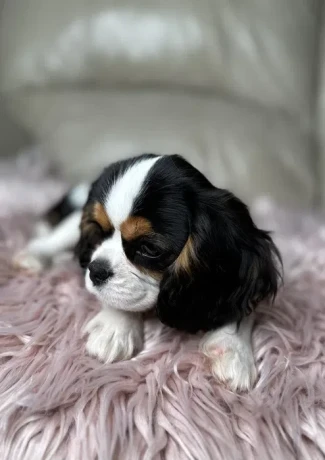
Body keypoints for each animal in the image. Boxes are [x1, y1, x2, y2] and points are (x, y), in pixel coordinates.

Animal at [13, 154, 280, 388]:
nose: (95, 271)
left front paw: (234, 351)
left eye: (149, 248)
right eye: (98, 231)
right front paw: (115, 330)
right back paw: (34, 255)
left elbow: (240, 309)